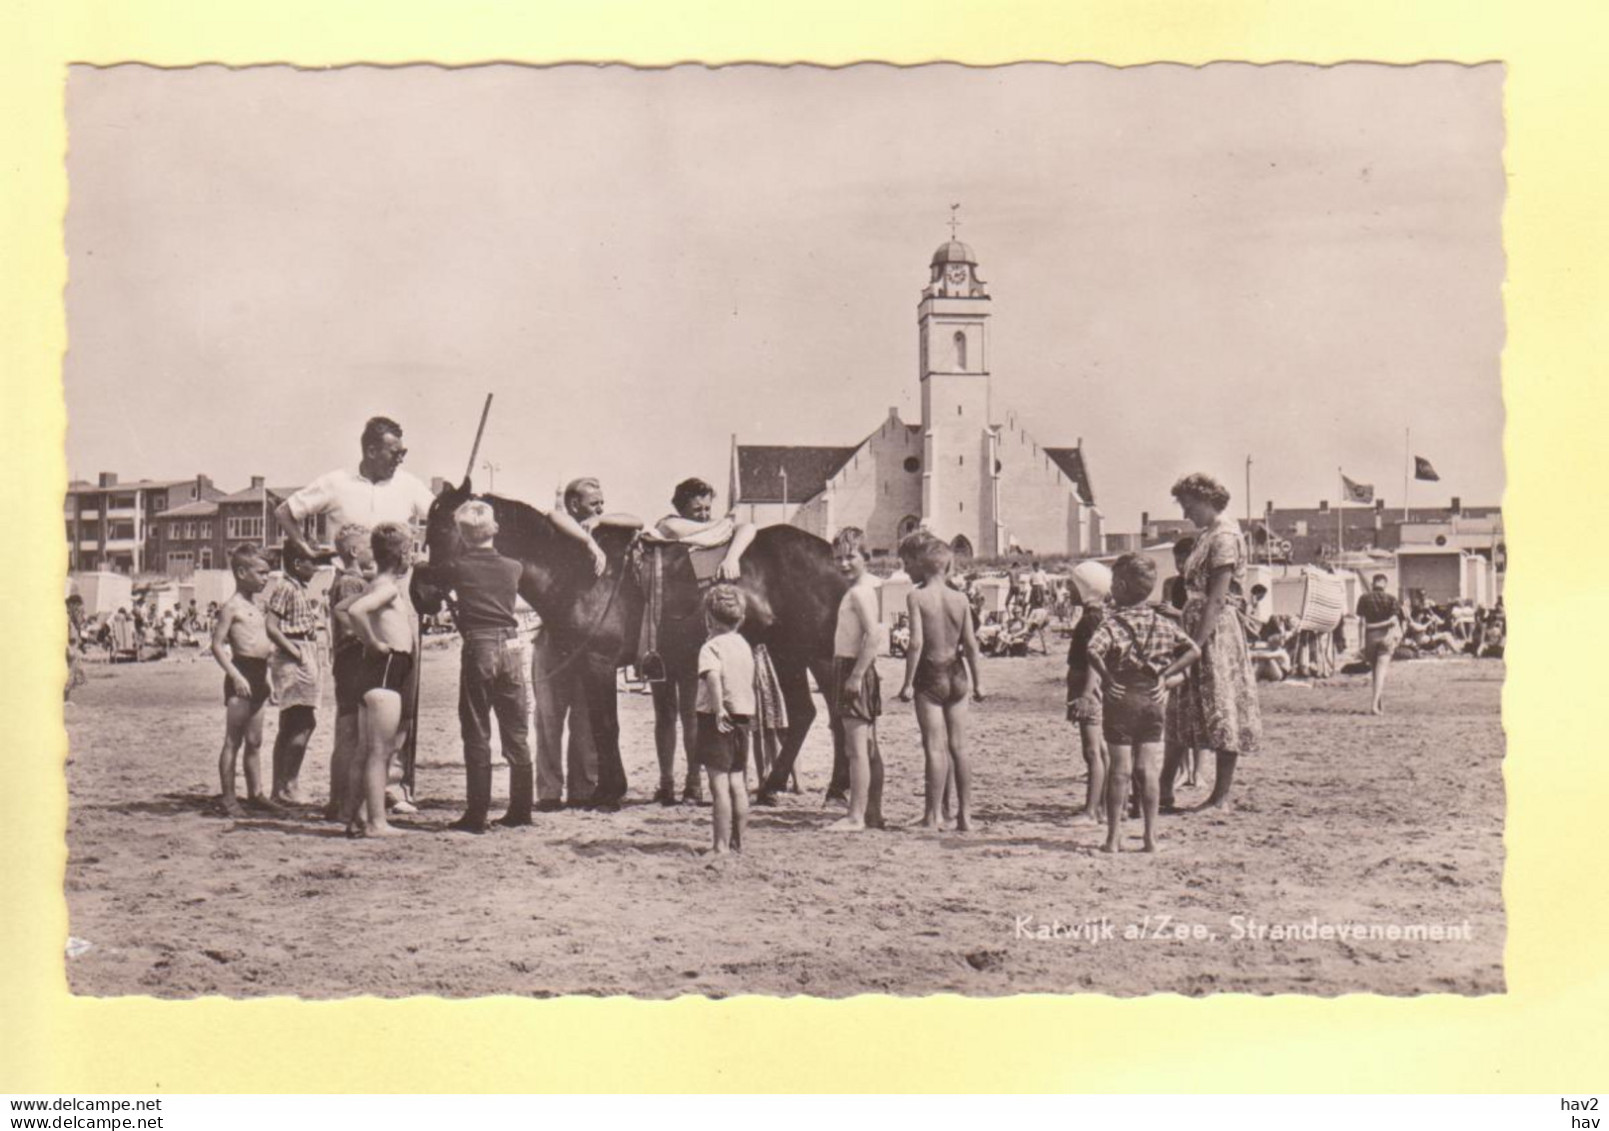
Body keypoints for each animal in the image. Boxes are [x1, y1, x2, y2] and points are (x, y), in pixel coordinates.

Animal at [411, 482, 855, 801]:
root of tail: (834, 556)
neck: (579, 570)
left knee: (830, 714)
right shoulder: (590, 663)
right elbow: (598, 724)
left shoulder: (599, 661)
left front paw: (609, 792)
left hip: (812, 652)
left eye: (442, 527)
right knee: (813, 715)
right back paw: (790, 787)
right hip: (790, 652)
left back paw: (820, 787)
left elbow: (606, 725)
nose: (421, 592)